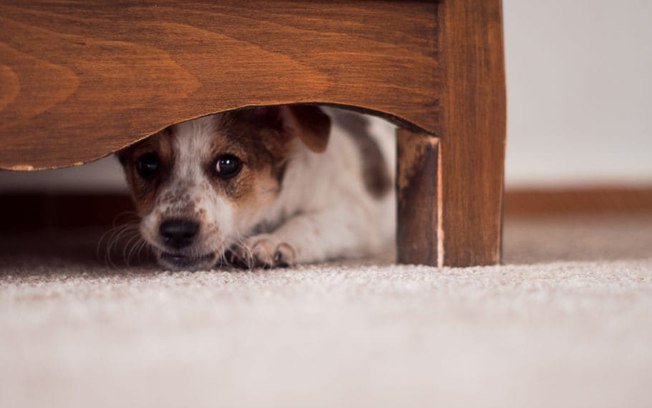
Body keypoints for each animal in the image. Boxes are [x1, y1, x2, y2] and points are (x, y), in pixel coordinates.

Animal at [119, 105, 394, 270]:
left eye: (228, 164)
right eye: (147, 163)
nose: (177, 231)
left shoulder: (354, 215)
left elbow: (309, 221)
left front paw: (273, 241)